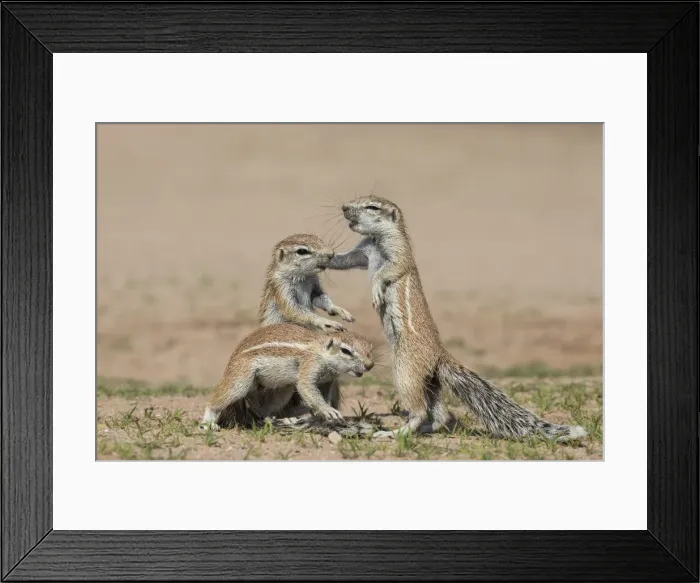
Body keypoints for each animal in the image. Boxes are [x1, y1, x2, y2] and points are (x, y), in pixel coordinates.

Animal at [201, 323, 374, 431]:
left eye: (370, 348)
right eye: (345, 351)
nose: (370, 365)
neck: (321, 351)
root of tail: (231, 359)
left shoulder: (327, 381)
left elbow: (325, 396)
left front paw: (324, 414)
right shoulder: (309, 365)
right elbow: (307, 387)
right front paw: (328, 411)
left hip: (283, 389)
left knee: (263, 410)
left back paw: (281, 419)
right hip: (241, 379)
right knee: (216, 400)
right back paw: (209, 422)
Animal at [328, 195, 587, 441]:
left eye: (372, 207)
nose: (343, 207)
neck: (375, 240)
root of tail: (440, 354)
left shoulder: (398, 253)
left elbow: (389, 270)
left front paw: (375, 290)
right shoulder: (362, 252)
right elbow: (344, 260)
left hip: (406, 368)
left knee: (419, 409)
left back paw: (396, 433)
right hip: (430, 380)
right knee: (441, 414)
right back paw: (426, 430)